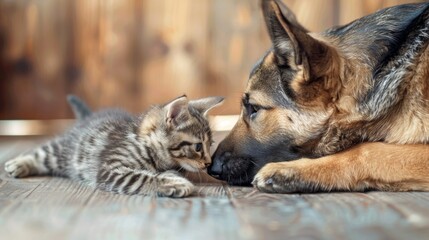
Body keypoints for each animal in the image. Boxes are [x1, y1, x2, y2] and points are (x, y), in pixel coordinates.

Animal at [3, 94, 222, 198]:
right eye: (198, 147)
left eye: (210, 144)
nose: (208, 163)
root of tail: (88, 117)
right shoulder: (110, 169)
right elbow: (142, 177)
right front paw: (175, 183)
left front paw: (172, 178)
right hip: (62, 152)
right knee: (42, 152)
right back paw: (19, 164)